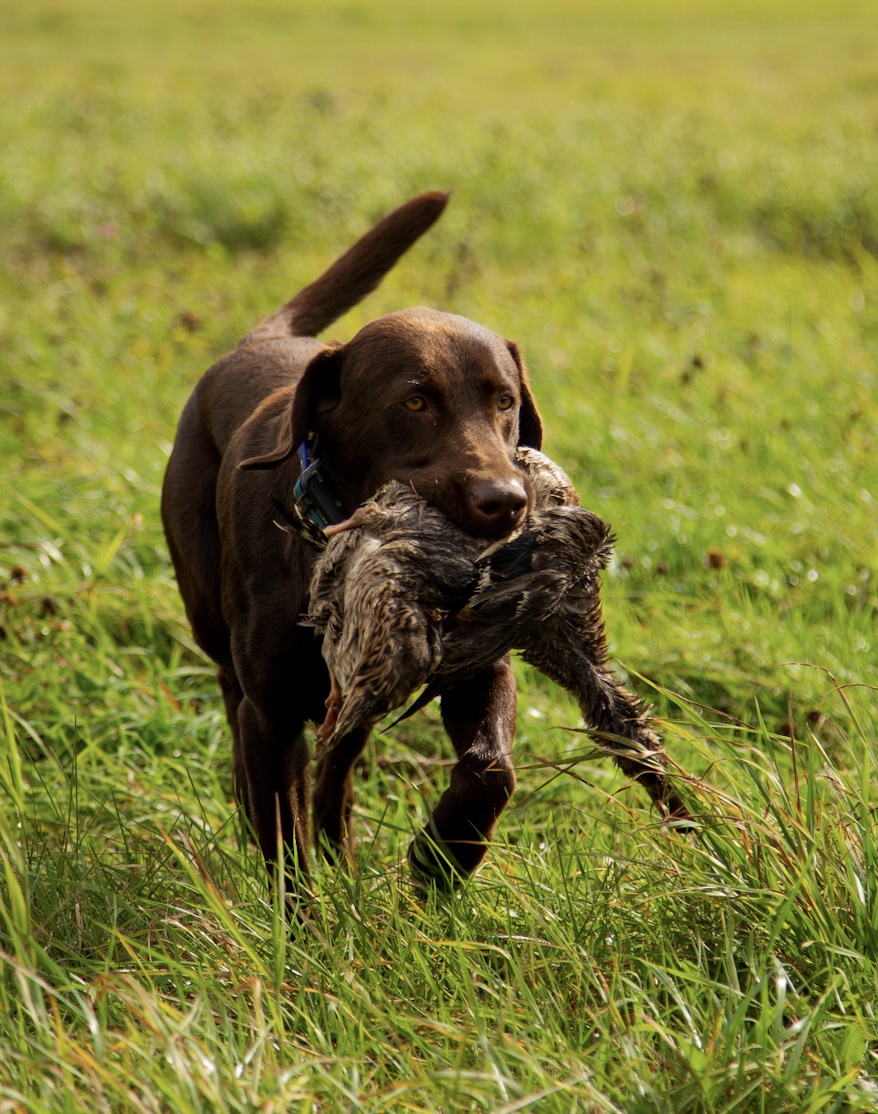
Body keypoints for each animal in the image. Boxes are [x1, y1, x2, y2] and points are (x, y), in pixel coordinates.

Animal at [161, 193, 545, 904]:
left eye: (505, 401)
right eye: (415, 401)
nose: (506, 501)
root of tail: (260, 342)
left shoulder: (478, 669)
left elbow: (492, 769)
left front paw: (440, 861)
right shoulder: (273, 713)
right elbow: (286, 848)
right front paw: (300, 927)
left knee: (337, 771)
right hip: (215, 627)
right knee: (235, 707)